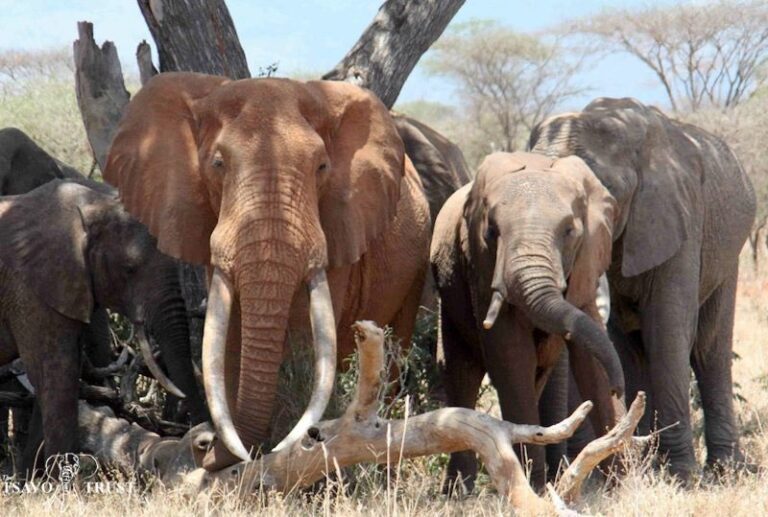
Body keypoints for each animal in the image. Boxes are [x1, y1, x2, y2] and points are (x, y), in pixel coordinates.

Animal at [432, 151, 624, 490]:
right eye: (491, 233)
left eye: (570, 231)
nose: (621, 389)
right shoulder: (481, 266)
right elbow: (510, 355)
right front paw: (531, 486)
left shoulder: (585, 266)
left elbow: (589, 356)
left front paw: (618, 487)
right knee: (460, 370)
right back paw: (458, 491)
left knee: (537, 374)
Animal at [528, 98, 756, 480]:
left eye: (598, 195)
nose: (554, 473)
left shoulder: (678, 216)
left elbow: (667, 331)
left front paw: (681, 477)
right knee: (633, 344)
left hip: (727, 252)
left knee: (709, 350)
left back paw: (723, 470)